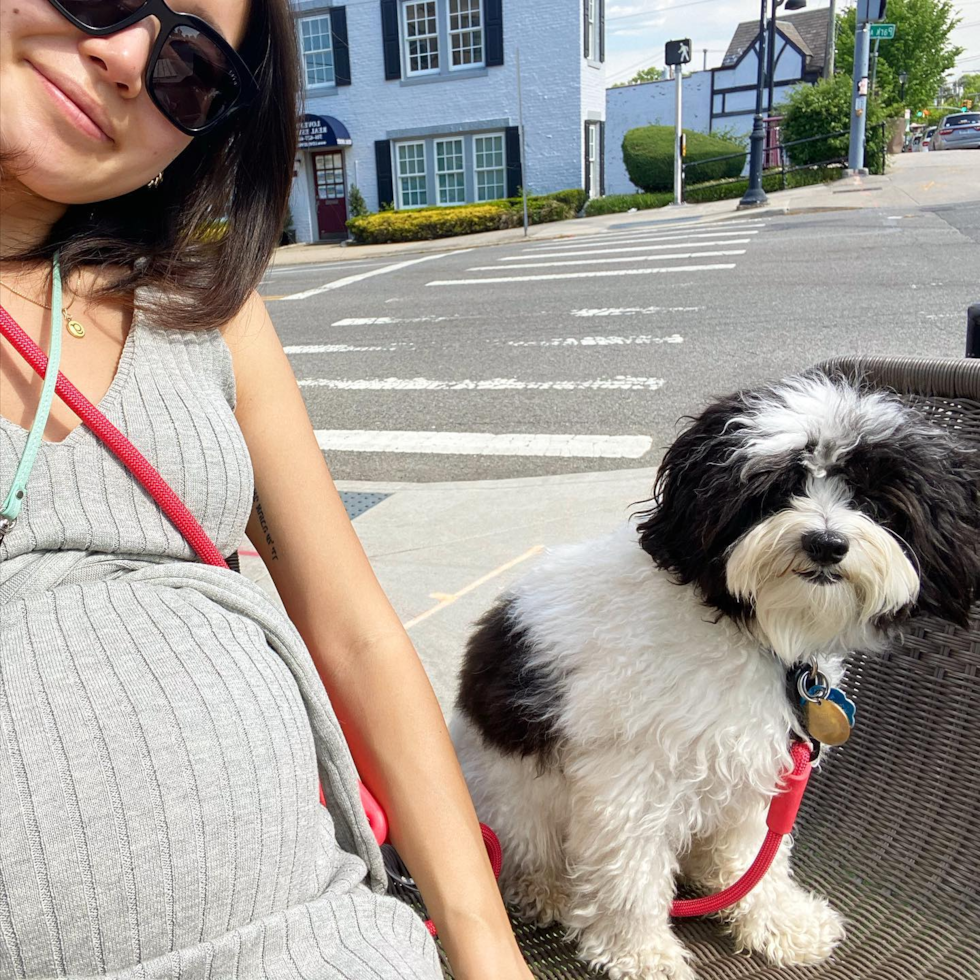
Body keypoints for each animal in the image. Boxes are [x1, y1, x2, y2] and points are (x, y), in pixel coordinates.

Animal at [454, 374, 980, 980]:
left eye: (870, 500)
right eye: (775, 492)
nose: (825, 543)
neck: (752, 633)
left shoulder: (760, 767)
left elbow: (760, 855)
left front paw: (779, 922)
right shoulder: (630, 784)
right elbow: (630, 879)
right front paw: (643, 955)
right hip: (513, 803)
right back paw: (549, 890)